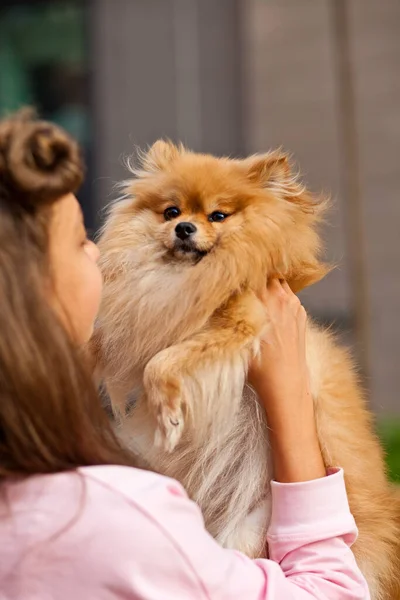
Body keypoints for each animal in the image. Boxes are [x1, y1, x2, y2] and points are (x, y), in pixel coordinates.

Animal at [93, 142, 400, 600]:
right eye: (171, 211)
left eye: (218, 216)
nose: (184, 227)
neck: (194, 276)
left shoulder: (242, 326)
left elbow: (160, 364)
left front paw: (168, 413)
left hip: (256, 523)